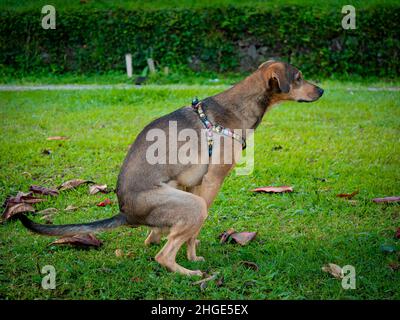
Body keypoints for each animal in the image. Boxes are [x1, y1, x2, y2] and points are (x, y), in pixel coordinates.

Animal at [19, 60, 324, 276]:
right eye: (298, 78)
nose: (322, 90)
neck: (236, 107)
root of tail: (126, 213)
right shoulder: (211, 181)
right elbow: (195, 231)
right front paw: (193, 256)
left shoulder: (194, 181)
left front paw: (193, 249)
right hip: (190, 205)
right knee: (163, 255)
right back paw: (189, 273)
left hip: (180, 191)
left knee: (153, 240)